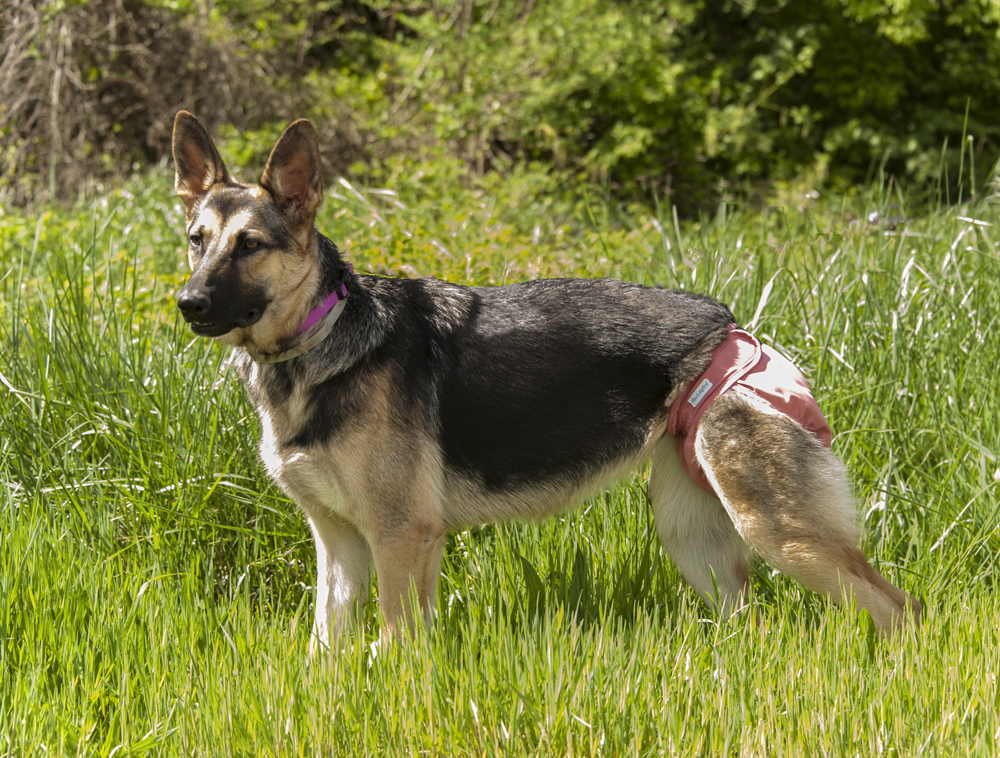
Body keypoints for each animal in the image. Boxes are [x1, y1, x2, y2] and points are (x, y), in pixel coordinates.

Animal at [172, 111, 920, 648]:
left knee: (897, 607)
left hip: (778, 530)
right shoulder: (339, 548)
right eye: (196, 240)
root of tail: (735, 331)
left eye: (250, 246)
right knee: (753, 620)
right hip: (695, 537)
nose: (188, 303)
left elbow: (396, 646)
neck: (321, 335)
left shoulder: (402, 537)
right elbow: (324, 649)